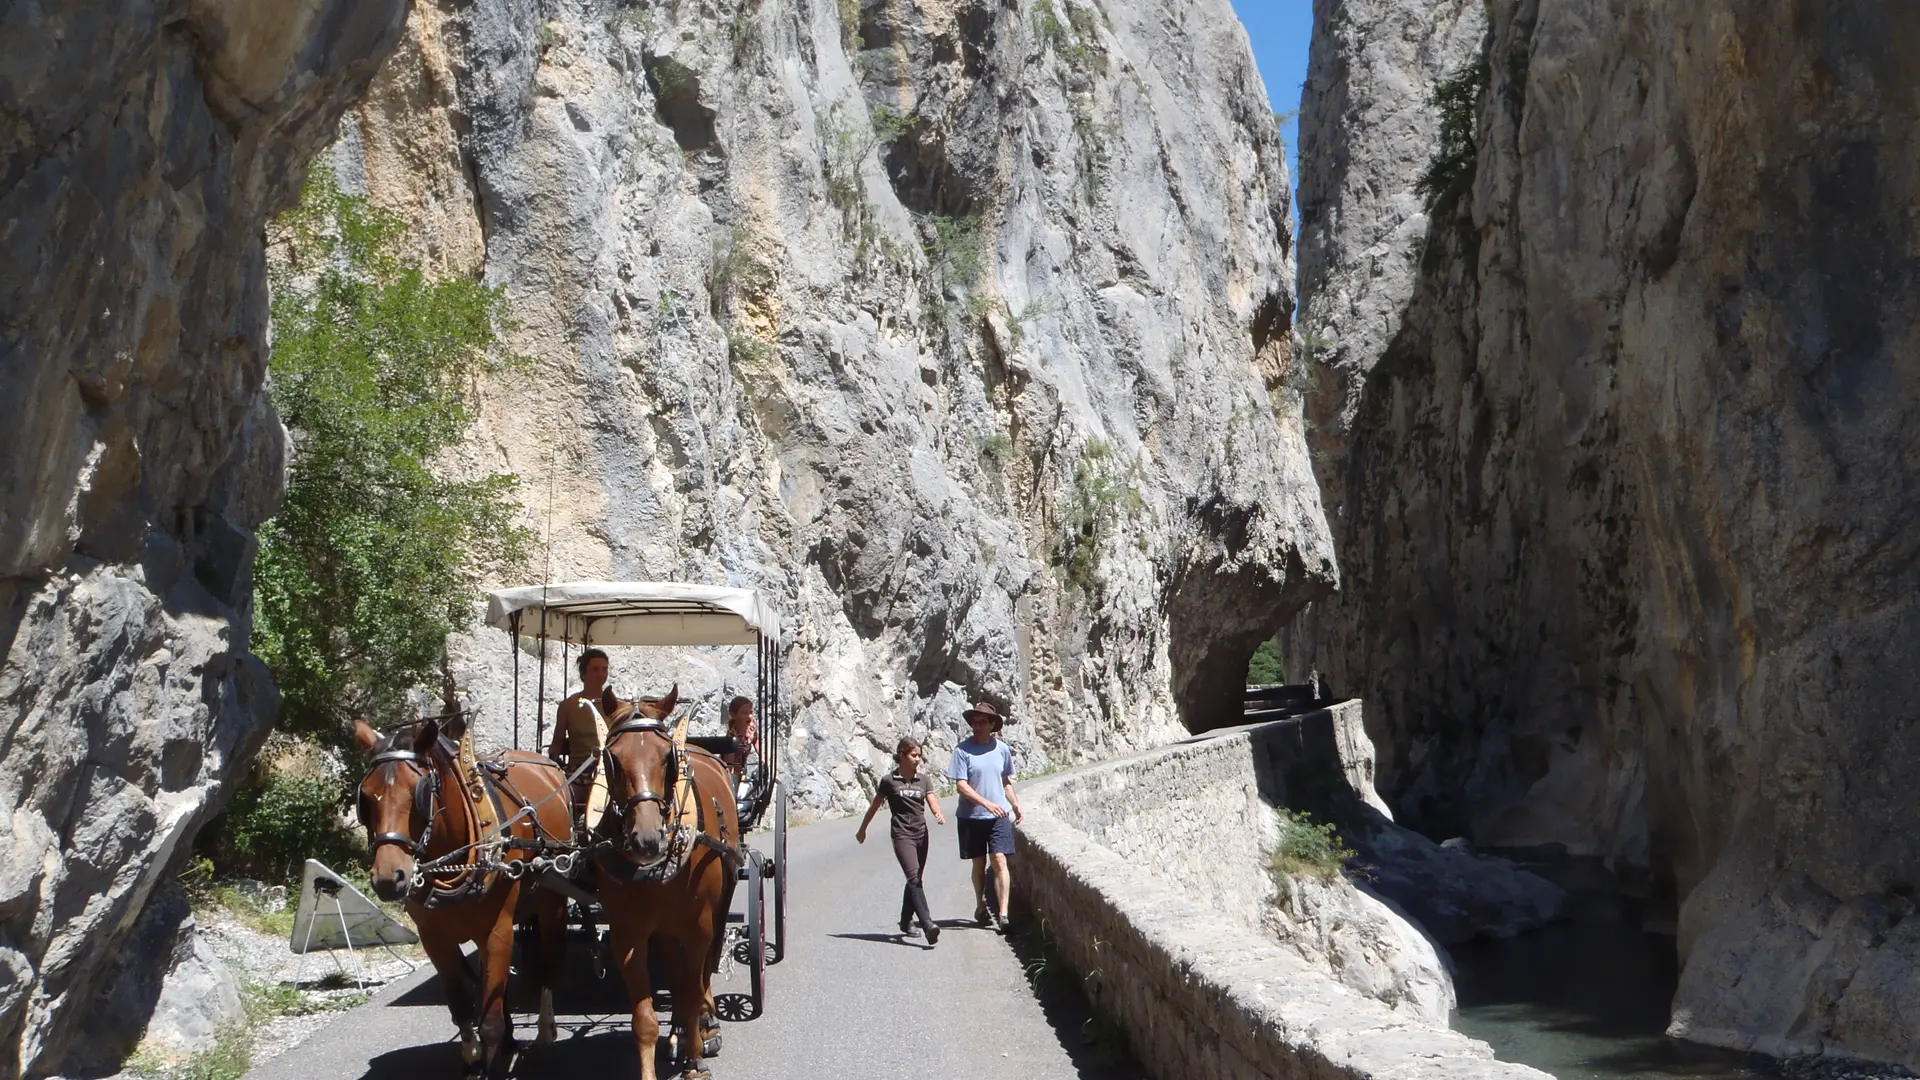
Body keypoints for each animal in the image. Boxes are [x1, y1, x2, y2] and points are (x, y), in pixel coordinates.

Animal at [357, 718, 572, 1068]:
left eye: (418, 793)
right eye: (365, 797)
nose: (389, 878)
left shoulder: (498, 930)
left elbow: (491, 1022)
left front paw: (490, 1061)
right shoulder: (434, 938)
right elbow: (462, 1006)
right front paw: (473, 1057)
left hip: (552, 902)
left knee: (548, 966)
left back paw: (544, 1032)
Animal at [599, 687, 741, 1076]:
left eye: (667, 757)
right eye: (612, 758)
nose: (647, 839)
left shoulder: (700, 927)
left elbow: (694, 988)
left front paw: (696, 1058)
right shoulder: (628, 935)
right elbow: (645, 1018)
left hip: (717, 909)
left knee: (702, 973)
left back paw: (706, 1027)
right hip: (664, 929)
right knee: (677, 973)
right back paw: (678, 1031)